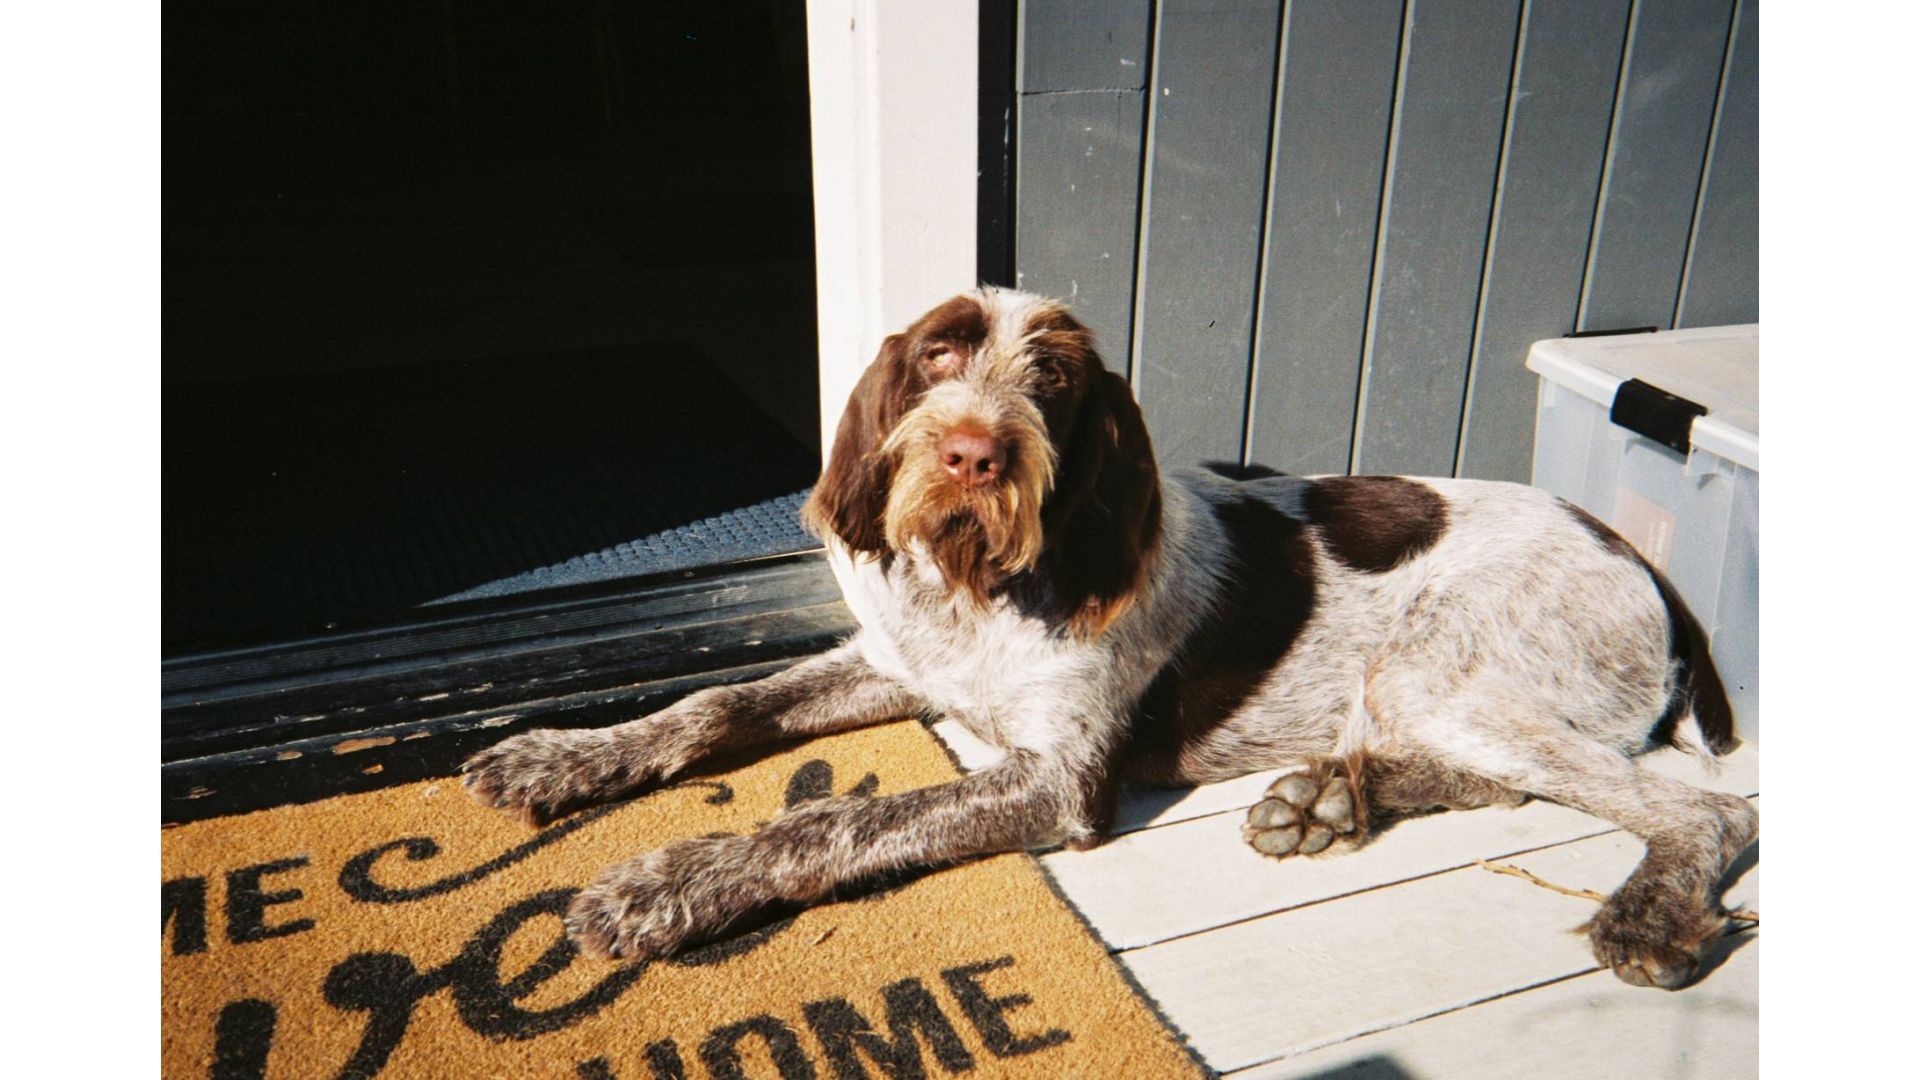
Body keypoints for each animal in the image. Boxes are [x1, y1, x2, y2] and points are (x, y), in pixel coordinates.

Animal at [464, 287, 1756, 990]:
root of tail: (1648, 565)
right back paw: (1330, 800)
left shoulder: (1053, 780)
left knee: (1705, 812)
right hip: (1438, 700)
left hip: (1449, 674)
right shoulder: (895, 667)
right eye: (937, 356)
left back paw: (1647, 911)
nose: (974, 454)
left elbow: (830, 822)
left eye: (1054, 381)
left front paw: (667, 882)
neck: (980, 590)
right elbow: (711, 707)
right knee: (1508, 786)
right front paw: (564, 755)